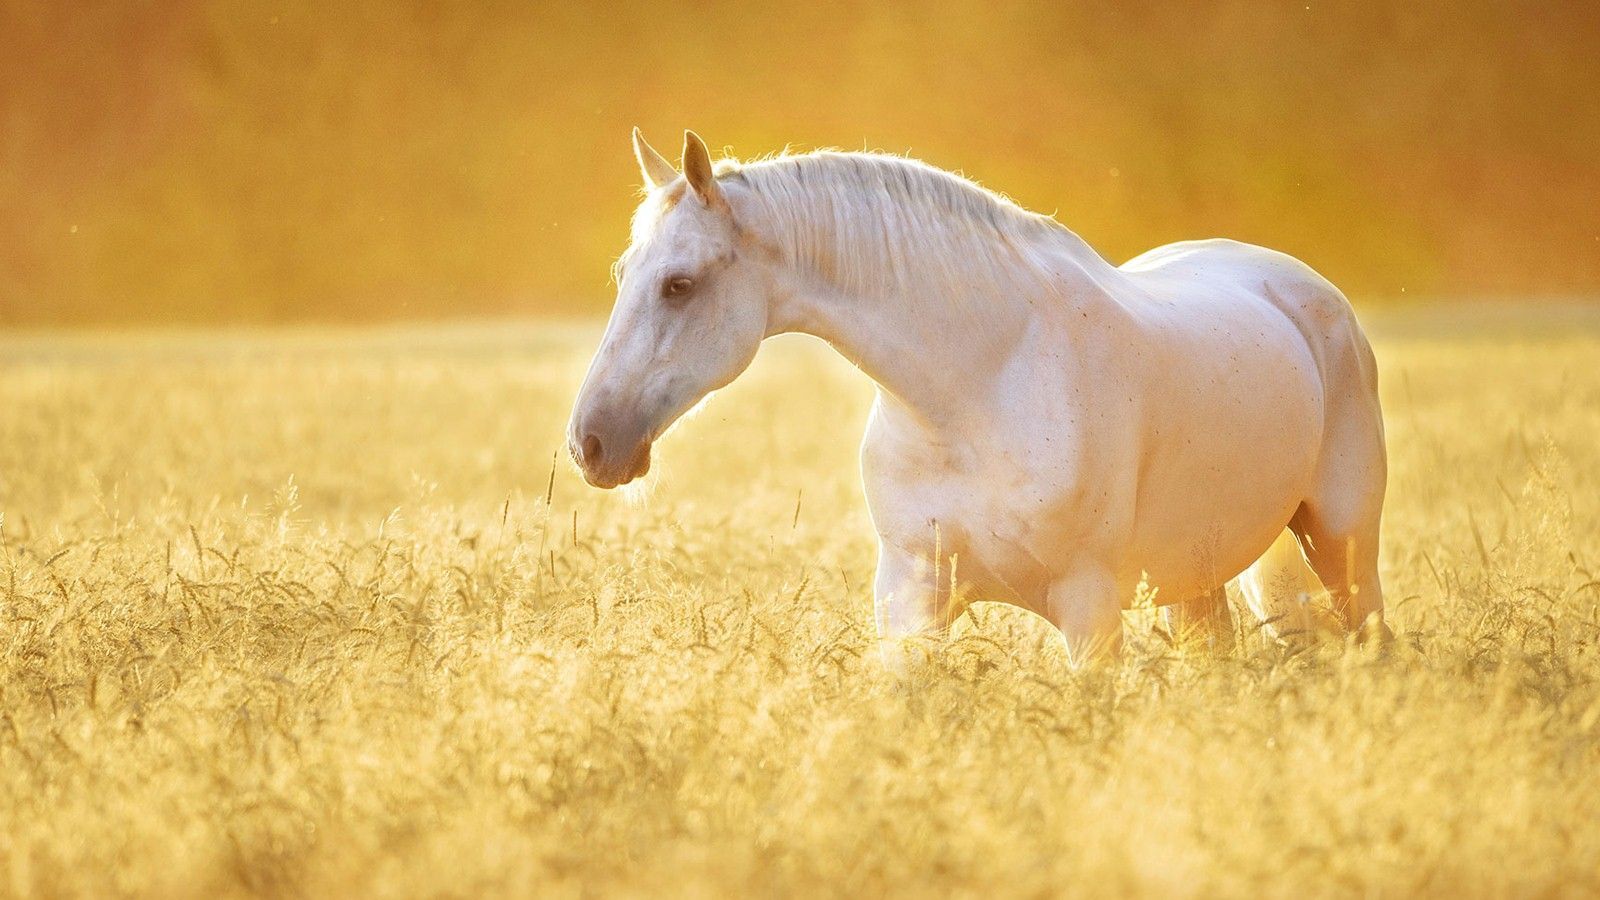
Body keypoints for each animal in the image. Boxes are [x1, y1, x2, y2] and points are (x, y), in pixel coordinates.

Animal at [567, 129, 1388, 664]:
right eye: (623, 273)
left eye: (679, 284)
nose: (590, 443)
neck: (978, 386)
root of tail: (1308, 291)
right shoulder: (912, 600)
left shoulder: (1089, 611)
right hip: (1199, 578)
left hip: (1342, 550)